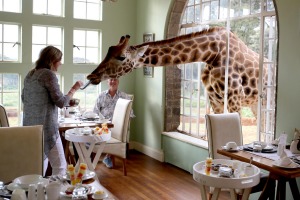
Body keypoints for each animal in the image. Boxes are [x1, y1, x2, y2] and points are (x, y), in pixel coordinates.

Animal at [85, 26, 266, 115]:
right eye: (108, 51)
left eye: (121, 57)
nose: (91, 76)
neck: (211, 54)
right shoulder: (215, 100)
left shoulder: (235, 98)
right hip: (254, 104)